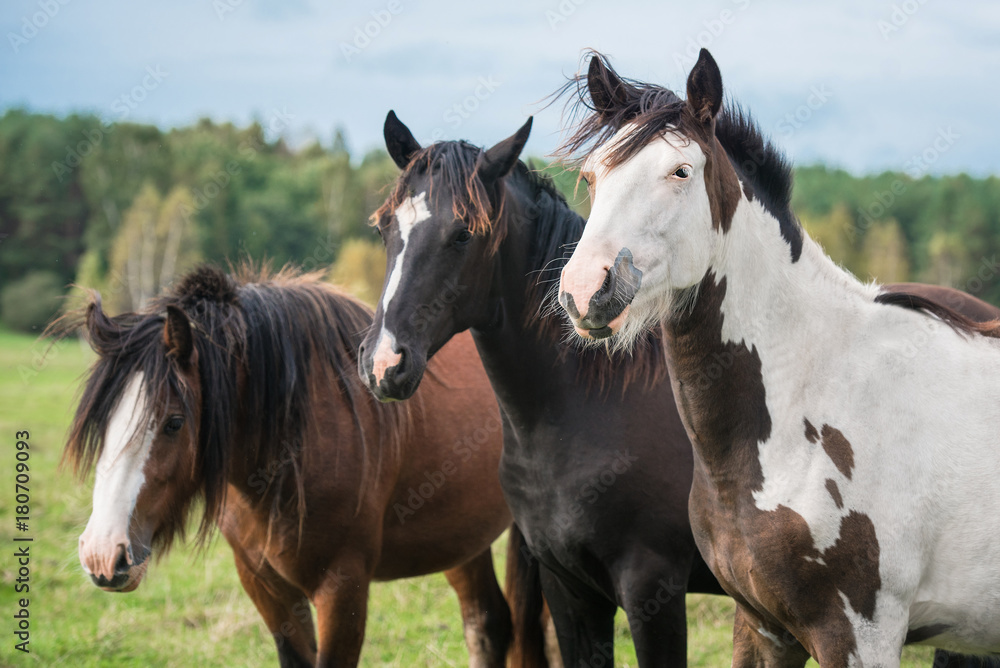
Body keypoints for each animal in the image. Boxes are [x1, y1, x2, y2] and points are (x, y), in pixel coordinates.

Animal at [62, 264, 548, 668]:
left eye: (174, 422)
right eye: (103, 421)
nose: (102, 553)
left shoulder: (343, 588)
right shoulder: (266, 587)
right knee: (486, 624)